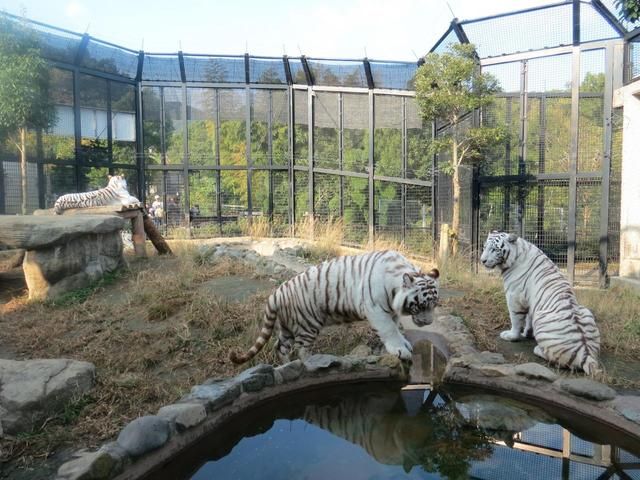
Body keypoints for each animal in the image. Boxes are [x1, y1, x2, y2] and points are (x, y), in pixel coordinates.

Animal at [230, 251, 440, 364]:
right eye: (421, 306)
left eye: (434, 305)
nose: (428, 322)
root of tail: (276, 293)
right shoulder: (376, 309)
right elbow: (389, 330)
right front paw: (400, 350)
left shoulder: (391, 310)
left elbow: (396, 327)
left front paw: (404, 343)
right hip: (308, 324)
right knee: (302, 349)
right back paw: (309, 363)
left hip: (287, 326)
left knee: (280, 347)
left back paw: (285, 366)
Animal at [480, 232, 600, 376]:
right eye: (484, 247)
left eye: (494, 249)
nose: (482, 260)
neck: (517, 253)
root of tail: (586, 353)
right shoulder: (531, 301)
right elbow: (528, 319)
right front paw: (527, 333)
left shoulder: (514, 297)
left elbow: (516, 320)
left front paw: (511, 336)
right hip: (586, 312)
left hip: (541, 319)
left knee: (555, 359)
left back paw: (537, 349)